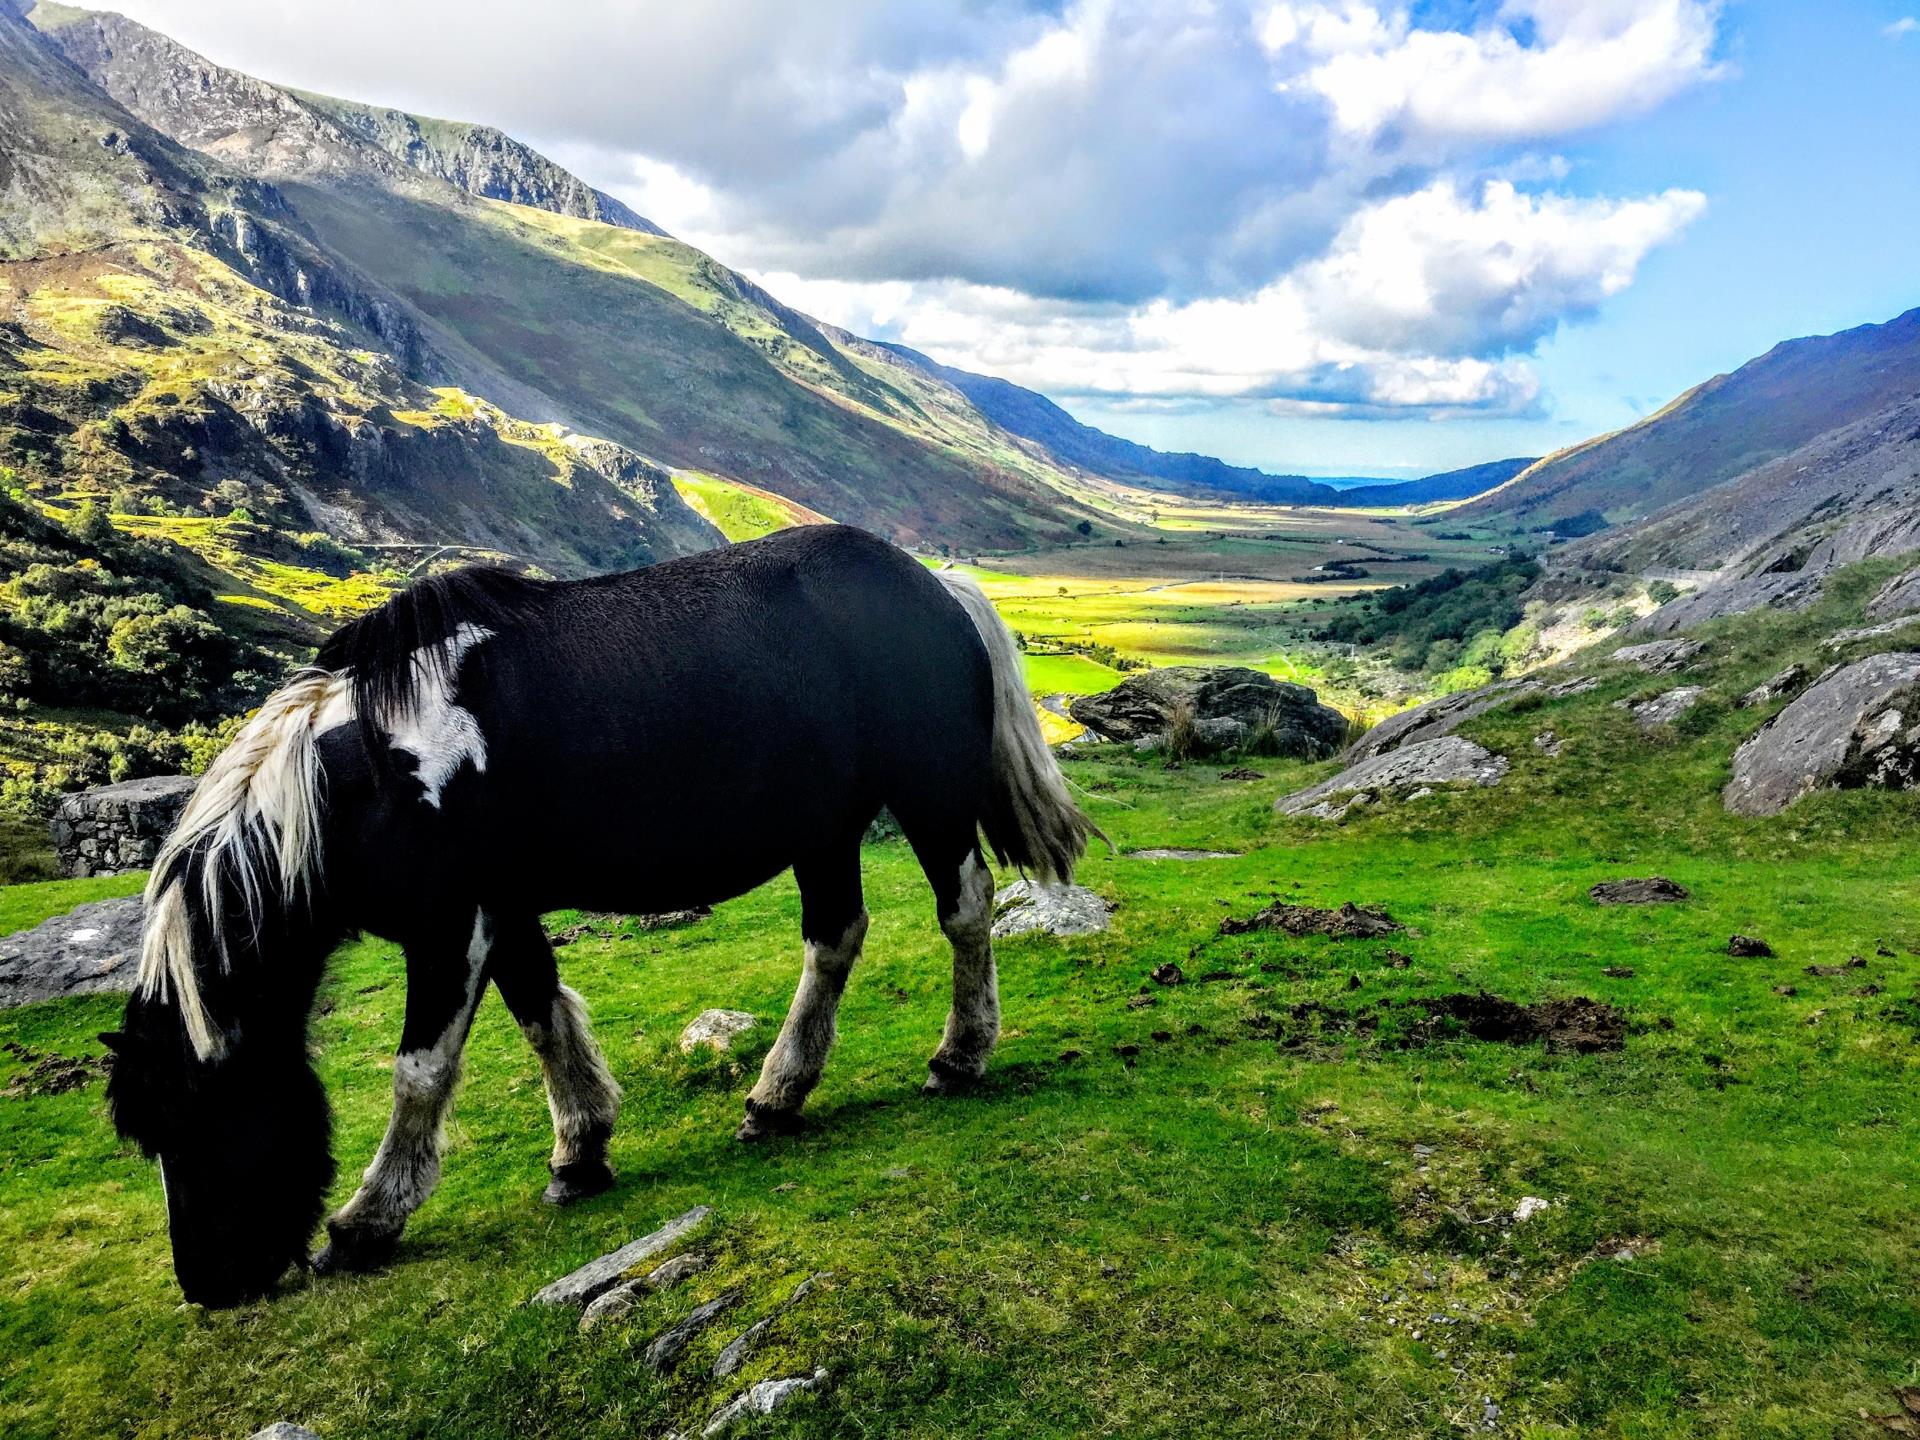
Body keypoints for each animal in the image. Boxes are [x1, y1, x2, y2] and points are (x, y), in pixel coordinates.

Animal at [101, 526, 1098, 1305]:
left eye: (194, 1118)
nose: (207, 1287)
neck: (372, 771)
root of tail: (937, 585)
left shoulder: (449, 925)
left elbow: (421, 1070)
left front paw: (369, 1219)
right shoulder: (502, 912)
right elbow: (542, 1016)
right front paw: (580, 1151)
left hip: (929, 800)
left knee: (963, 910)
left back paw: (958, 1055)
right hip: (825, 830)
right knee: (835, 937)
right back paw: (777, 1096)